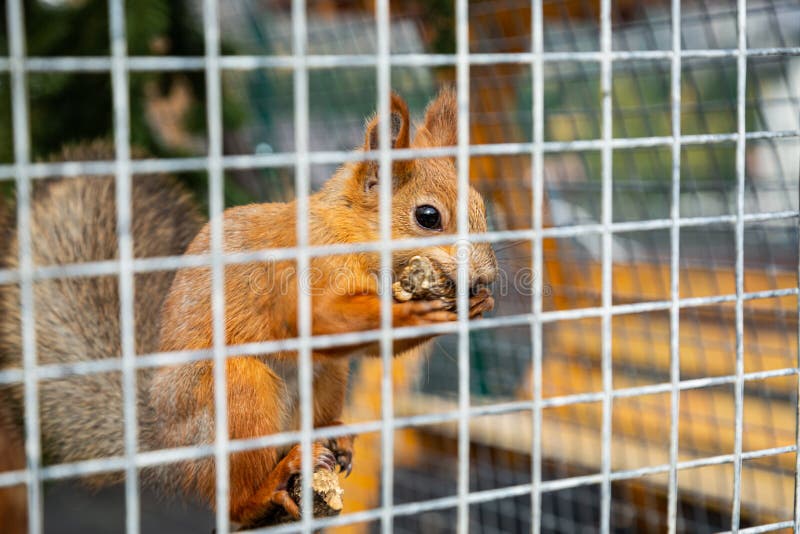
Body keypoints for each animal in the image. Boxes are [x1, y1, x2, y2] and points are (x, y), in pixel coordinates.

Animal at [0, 88, 498, 529]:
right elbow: (319, 319)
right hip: (238, 393)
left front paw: (477, 305)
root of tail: (168, 451)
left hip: (326, 378)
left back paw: (330, 436)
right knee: (233, 502)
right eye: (428, 216)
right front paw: (415, 313)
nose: (486, 277)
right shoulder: (305, 273)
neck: (349, 229)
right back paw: (267, 487)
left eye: (480, 207)